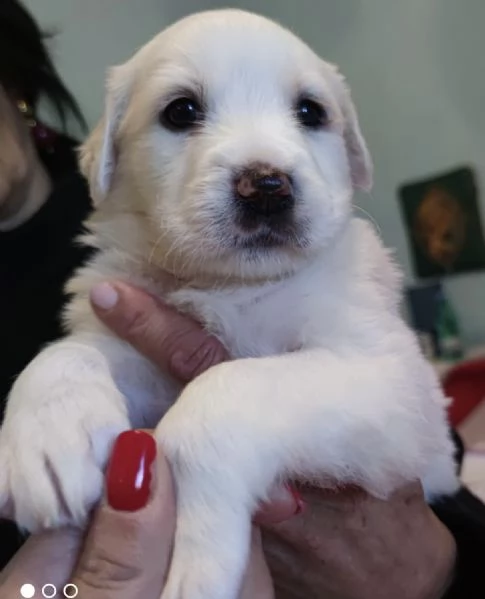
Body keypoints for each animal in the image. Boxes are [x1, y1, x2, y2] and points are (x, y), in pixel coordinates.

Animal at [0, 9, 458, 599]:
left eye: (310, 111)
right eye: (181, 111)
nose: (266, 186)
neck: (232, 285)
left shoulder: (393, 379)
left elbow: (227, 389)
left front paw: (195, 554)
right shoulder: (138, 346)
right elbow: (72, 350)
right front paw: (47, 438)